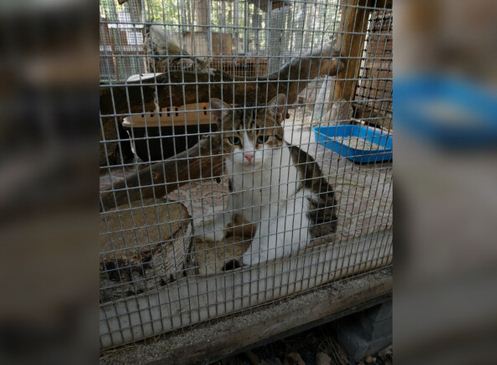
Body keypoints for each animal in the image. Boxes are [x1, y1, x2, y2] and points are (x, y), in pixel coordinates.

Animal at [202, 93, 338, 264]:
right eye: (234, 140)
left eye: (262, 138)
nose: (249, 155)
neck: (252, 177)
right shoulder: (235, 191)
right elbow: (227, 211)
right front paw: (213, 228)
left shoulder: (274, 203)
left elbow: (262, 234)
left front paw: (251, 254)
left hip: (302, 203)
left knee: (277, 244)